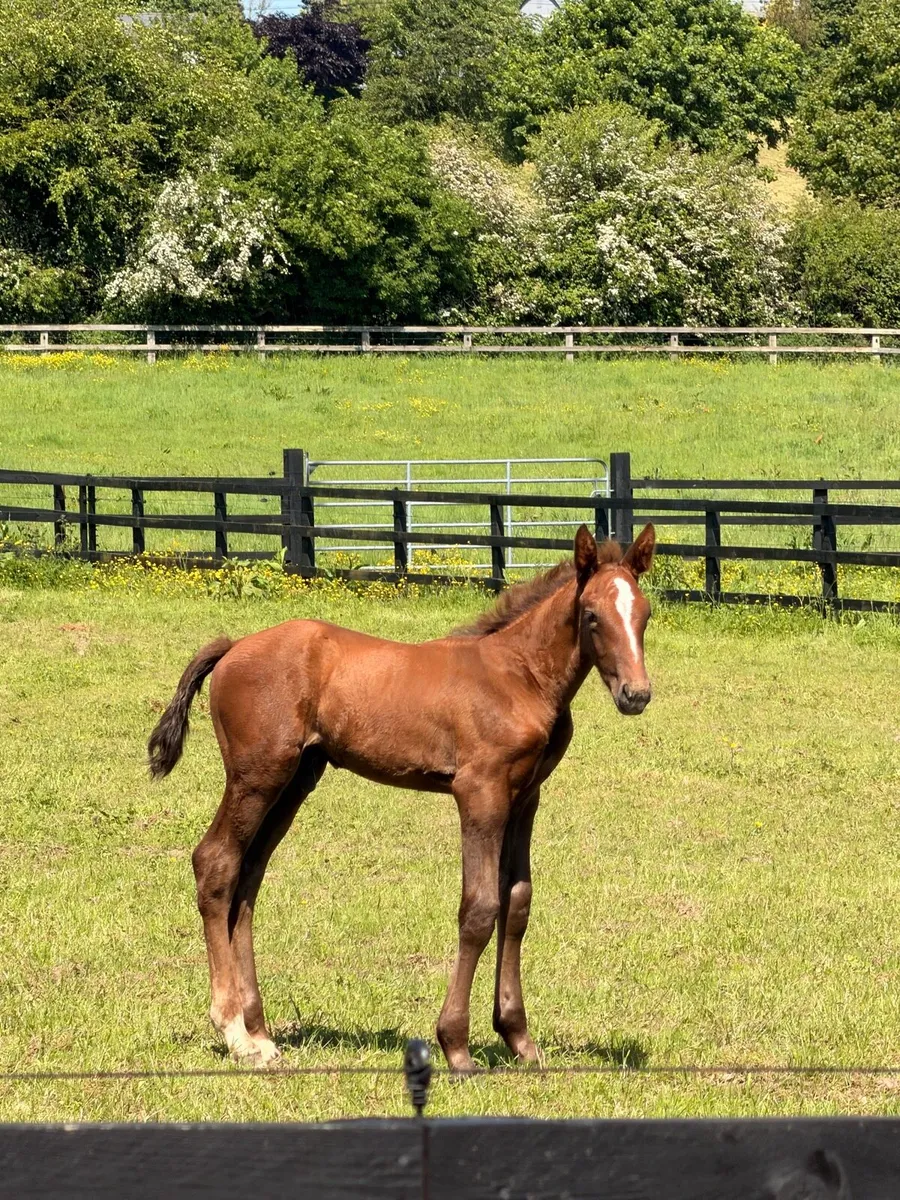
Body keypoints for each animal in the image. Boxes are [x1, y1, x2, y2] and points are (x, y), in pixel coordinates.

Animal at [148, 522, 656, 1074]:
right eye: (592, 615)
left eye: (645, 613)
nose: (636, 695)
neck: (521, 676)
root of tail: (234, 645)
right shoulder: (479, 792)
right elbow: (480, 908)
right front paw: (456, 1046)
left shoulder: (525, 797)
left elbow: (517, 903)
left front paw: (519, 1039)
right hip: (256, 775)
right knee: (216, 862)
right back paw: (234, 1031)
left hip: (295, 779)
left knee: (248, 878)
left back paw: (260, 1031)